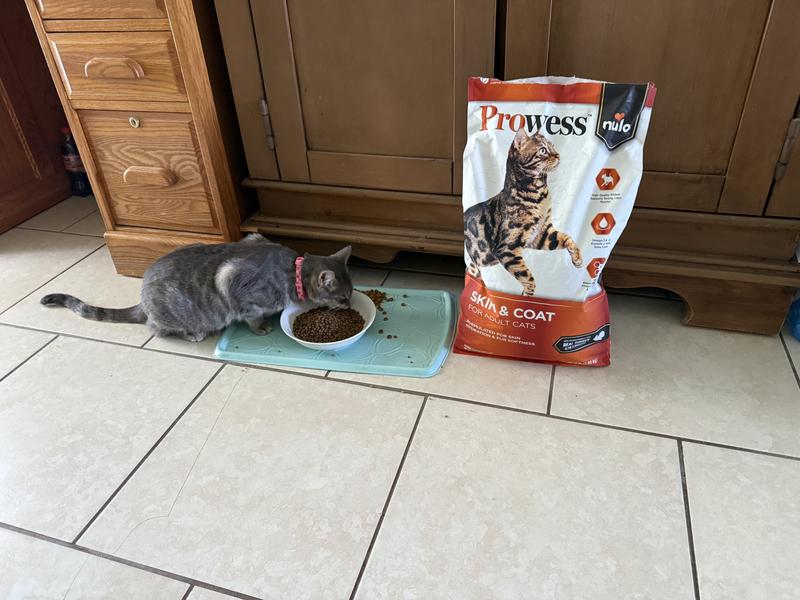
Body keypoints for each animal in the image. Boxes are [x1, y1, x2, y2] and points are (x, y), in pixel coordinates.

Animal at [41, 234, 353, 342]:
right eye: (343, 297)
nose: (350, 306)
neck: (293, 270)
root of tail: (142, 301)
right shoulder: (238, 288)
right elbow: (252, 317)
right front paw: (262, 327)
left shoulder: (253, 237)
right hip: (172, 316)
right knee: (155, 329)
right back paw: (192, 334)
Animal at [463, 126, 582, 296]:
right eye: (543, 150)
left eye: (553, 146)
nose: (558, 155)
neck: (539, 195)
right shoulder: (506, 248)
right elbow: (528, 277)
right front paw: (526, 297)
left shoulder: (542, 234)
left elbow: (567, 237)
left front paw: (577, 258)